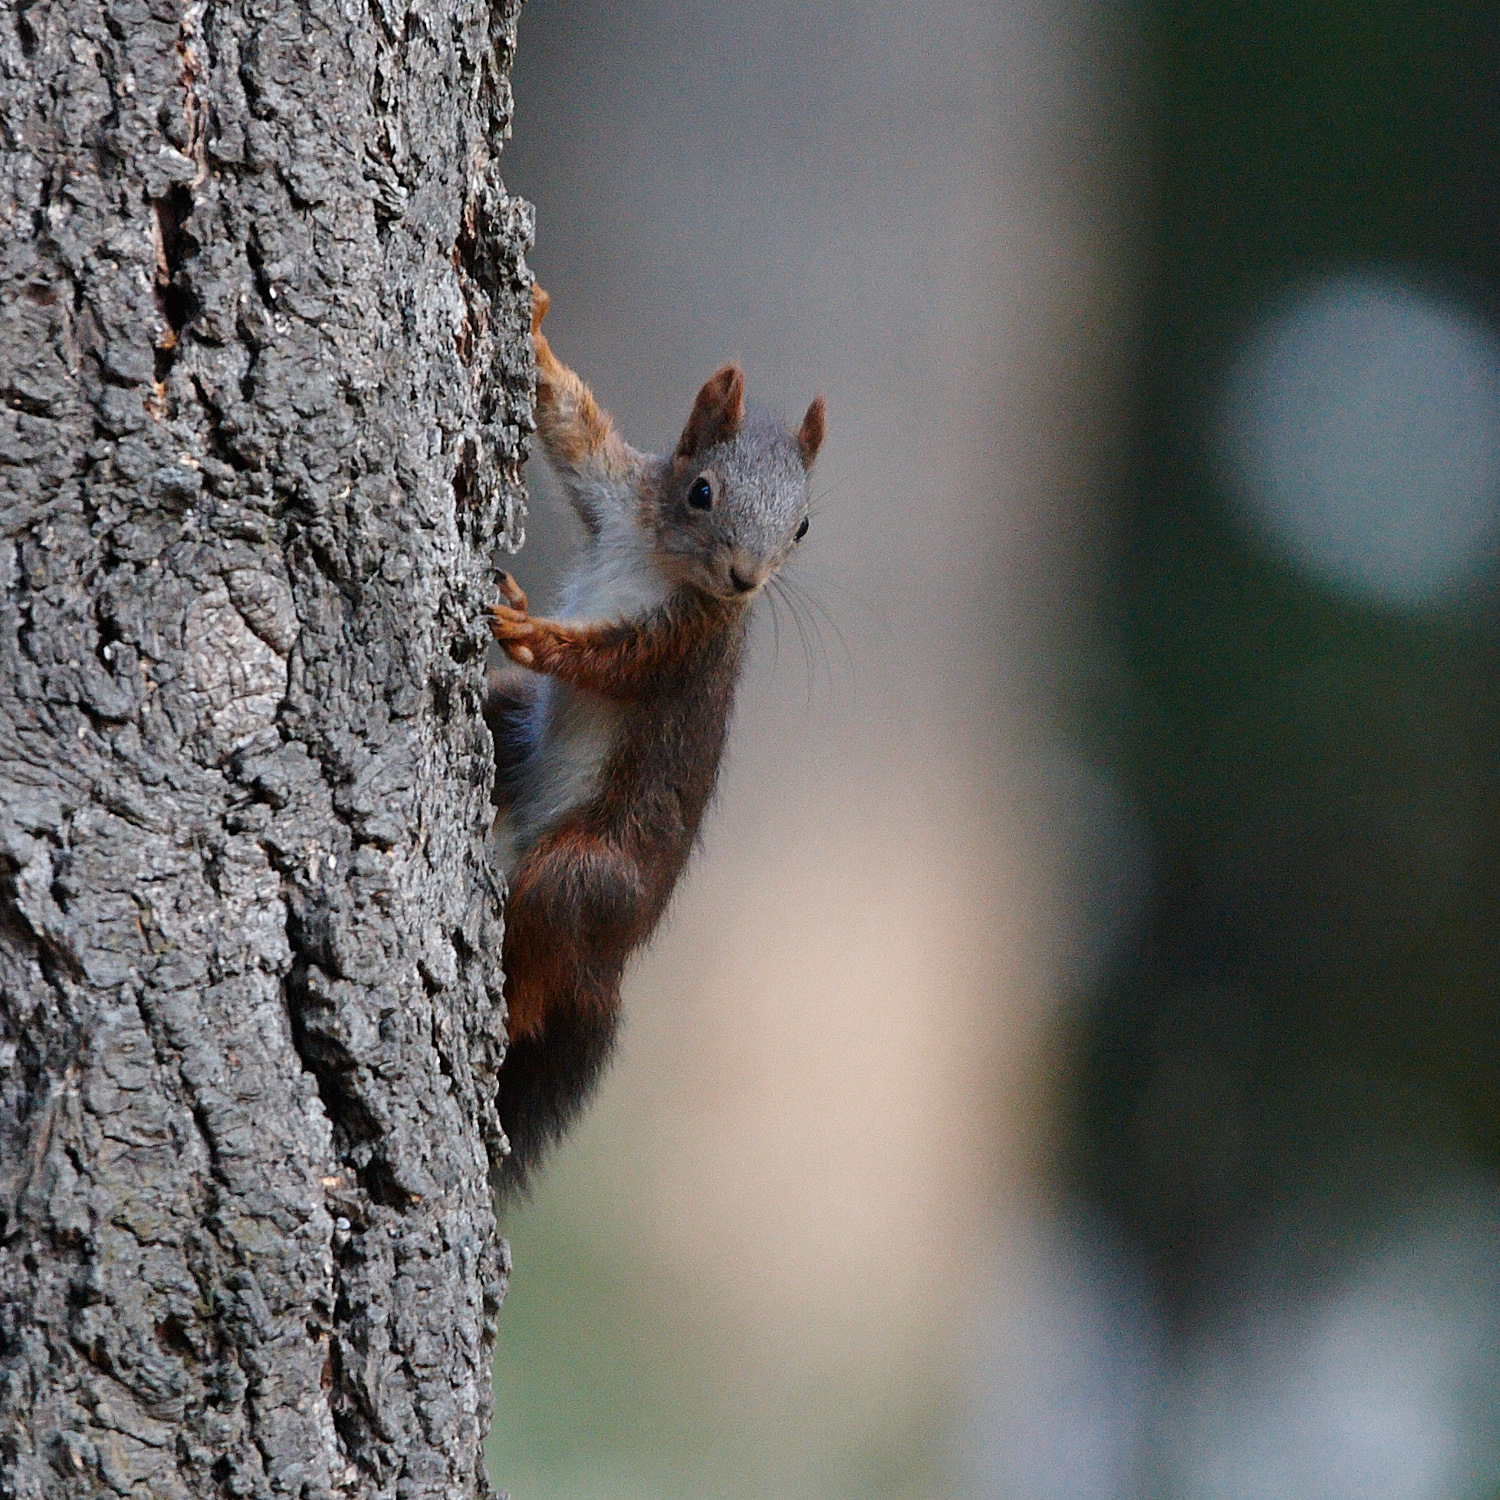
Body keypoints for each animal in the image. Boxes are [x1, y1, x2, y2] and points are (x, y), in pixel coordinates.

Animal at [484, 287, 824, 1195]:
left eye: (802, 527)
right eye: (701, 490)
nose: (745, 578)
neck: (662, 559)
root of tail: (608, 971)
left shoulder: (682, 645)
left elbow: (612, 663)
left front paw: (532, 633)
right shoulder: (615, 492)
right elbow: (571, 425)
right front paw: (534, 330)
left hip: (587, 877)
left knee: (541, 957)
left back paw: (511, 1000)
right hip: (511, 733)